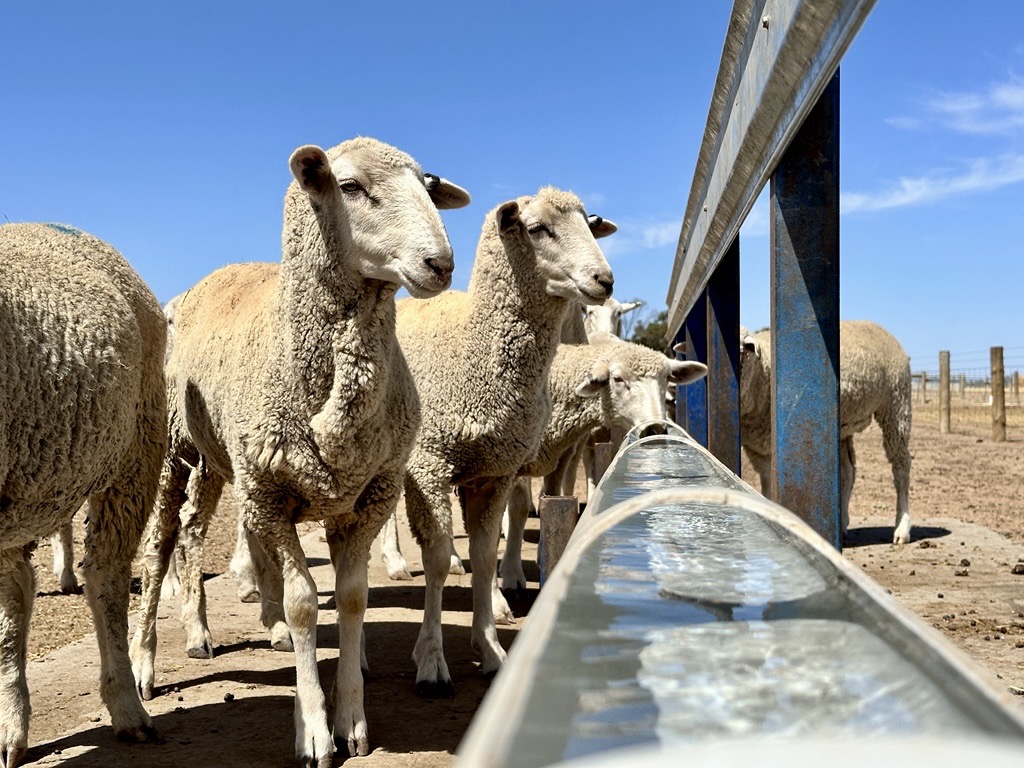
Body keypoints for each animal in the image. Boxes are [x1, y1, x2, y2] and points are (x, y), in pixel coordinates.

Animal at [128, 137, 469, 765]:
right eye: (351, 186)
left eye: (430, 189)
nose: (441, 264)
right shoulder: (274, 493)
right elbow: (306, 603)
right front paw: (313, 728)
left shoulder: (367, 493)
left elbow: (353, 599)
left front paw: (352, 717)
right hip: (172, 452)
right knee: (161, 545)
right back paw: (145, 662)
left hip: (225, 463)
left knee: (197, 530)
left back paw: (215, 630)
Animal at [391, 188, 614, 697]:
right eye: (536, 229)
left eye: (590, 225)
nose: (605, 279)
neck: (469, 348)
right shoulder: (429, 465)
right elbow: (436, 560)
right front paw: (431, 659)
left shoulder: (494, 472)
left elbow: (484, 551)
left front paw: (491, 650)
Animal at [500, 337, 708, 591]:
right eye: (617, 379)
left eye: (667, 378)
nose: (655, 429)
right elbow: (518, 508)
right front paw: (511, 572)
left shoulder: (561, 456)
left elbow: (551, 495)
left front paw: (542, 553)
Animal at [739, 320, 912, 545]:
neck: (763, 372)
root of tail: (880, 328)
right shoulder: (756, 447)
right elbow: (767, 483)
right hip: (844, 427)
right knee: (848, 471)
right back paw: (842, 524)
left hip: (896, 405)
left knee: (901, 466)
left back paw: (902, 528)